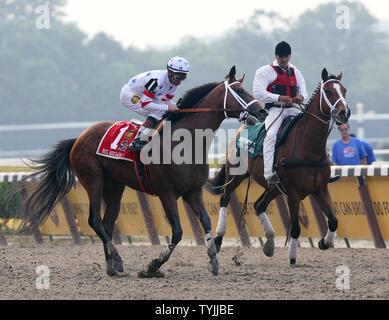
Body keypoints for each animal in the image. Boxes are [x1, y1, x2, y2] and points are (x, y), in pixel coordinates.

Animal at [16, 66, 268, 276]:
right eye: (240, 90)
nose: (262, 112)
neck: (185, 143)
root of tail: (78, 138)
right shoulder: (167, 193)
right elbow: (177, 232)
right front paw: (153, 266)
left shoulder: (193, 192)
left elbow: (206, 222)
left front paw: (213, 261)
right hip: (93, 180)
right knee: (94, 220)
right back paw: (116, 259)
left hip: (114, 186)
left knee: (107, 222)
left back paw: (112, 266)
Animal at [206, 69, 348, 264]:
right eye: (328, 91)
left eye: (344, 90)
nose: (344, 113)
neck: (309, 148)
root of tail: (242, 127)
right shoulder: (294, 194)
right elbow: (295, 227)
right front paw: (293, 257)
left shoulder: (320, 188)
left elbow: (333, 221)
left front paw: (324, 242)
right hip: (235, 176)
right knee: (224, 197)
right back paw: (218, 239)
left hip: (274, 188)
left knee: (259, 205)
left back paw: (269, 244)